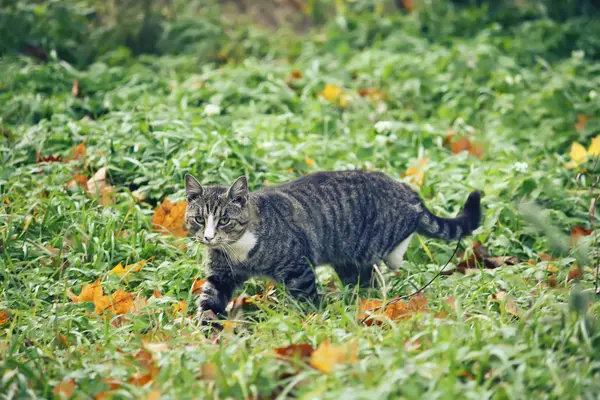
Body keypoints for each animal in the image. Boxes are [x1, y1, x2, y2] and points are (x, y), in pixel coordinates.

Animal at [185, 170, 480, 322]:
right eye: (199, 219)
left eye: (224, 220)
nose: (208, 237)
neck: (238, 251)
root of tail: (405, 188)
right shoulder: (220, 275)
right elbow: (209, 301)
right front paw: (205, 333)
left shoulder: (298, 267)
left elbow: (307, 299)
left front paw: (310, 319)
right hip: (350, 262)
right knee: (366, 280)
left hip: (382, 235)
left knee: (402, 237)